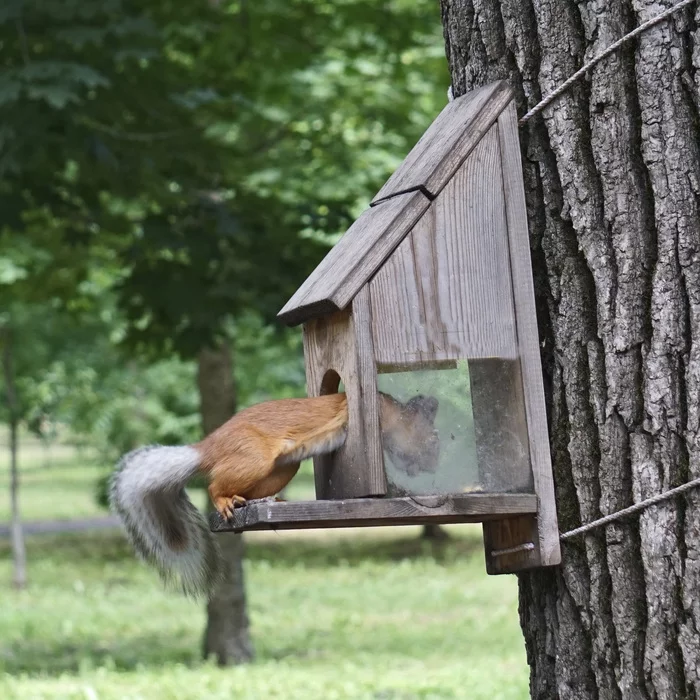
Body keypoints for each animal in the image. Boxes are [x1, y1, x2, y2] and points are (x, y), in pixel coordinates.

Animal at [108, 392, 438, 600]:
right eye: (430, 436)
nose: (431, 464)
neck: (386, 412)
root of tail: (207, 450)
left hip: (282, 469)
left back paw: (268, 501)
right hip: (255, 459)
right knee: (215, 486)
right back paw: (225, 501)